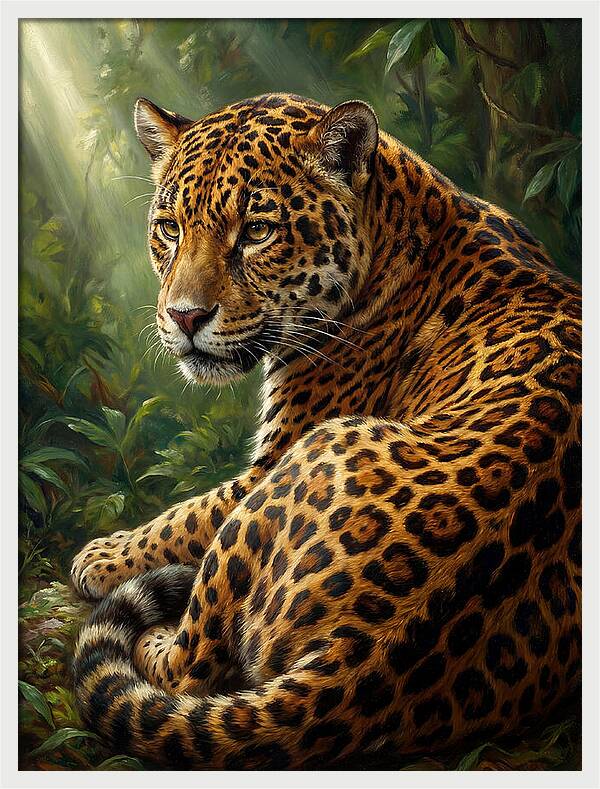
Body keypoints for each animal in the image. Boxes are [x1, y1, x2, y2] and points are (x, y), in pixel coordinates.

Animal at [71, 92, 582, 770]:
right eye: (171, 228)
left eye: (257, 231)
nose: (184, 316)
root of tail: (362, 659)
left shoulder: (274, 457)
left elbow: (187, 515)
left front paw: (103, 556)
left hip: (305, 461)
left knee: (190, 668)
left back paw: (155, 631)